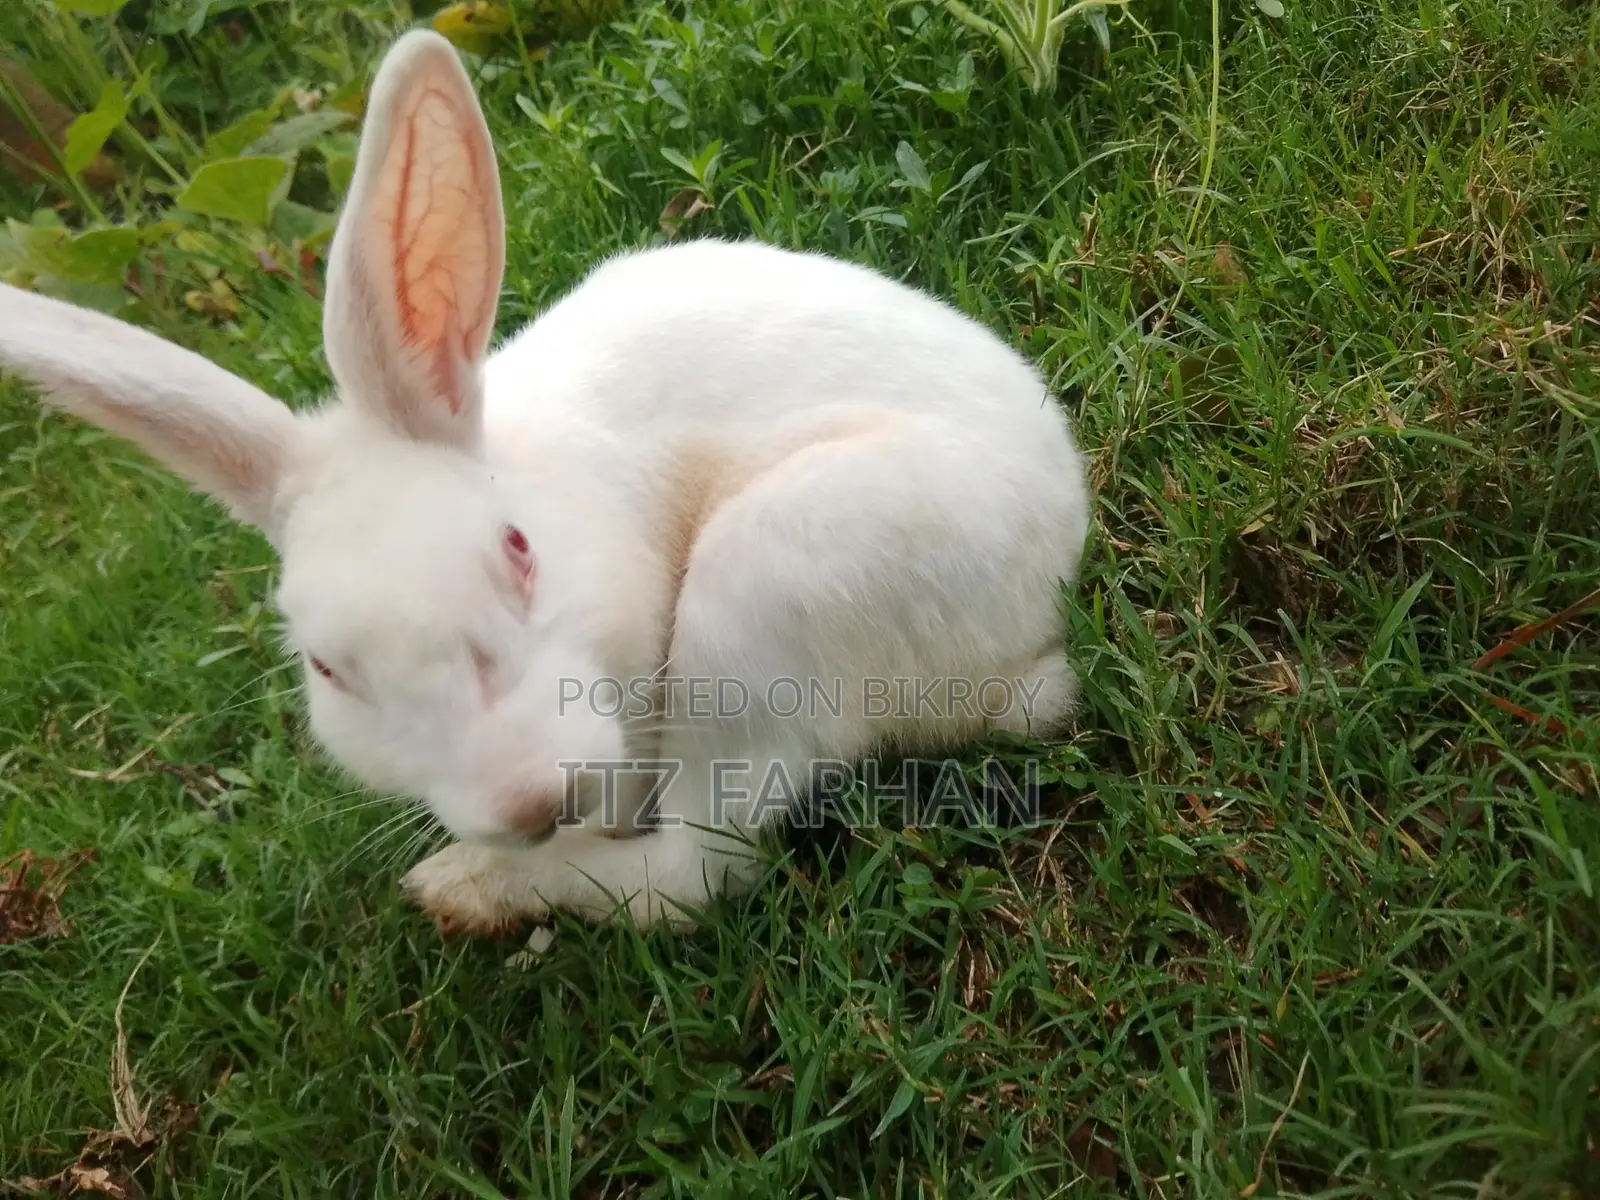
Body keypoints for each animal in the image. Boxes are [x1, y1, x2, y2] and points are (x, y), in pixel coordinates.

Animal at [0, 28, 1091, 936]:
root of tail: (1025, 642)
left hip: (766, 593)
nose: (525, 800)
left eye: (518, 552)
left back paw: (468, 889)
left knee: (694, 873)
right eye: (325, 668)